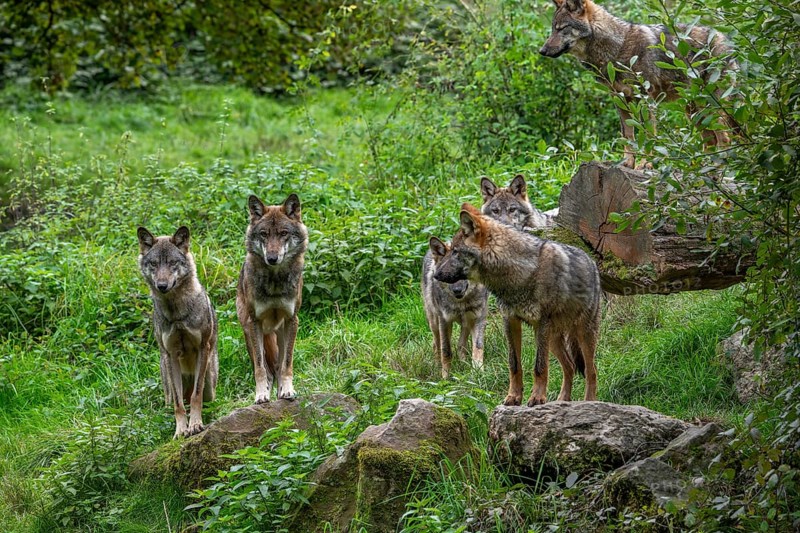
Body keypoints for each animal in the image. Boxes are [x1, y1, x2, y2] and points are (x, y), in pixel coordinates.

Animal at [137, 226, 219, 438]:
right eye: (154, 264)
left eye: (172, 263)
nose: (162, 286)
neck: (176, 313)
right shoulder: (170, 354)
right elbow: (179, 404)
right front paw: (181, 430)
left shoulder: (202, 347)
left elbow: (196, 396)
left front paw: (195, 425)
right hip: (167, 378)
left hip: (210, 383)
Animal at [236, 193, 308, 404]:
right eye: (264, 234)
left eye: (284, 233)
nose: (272, 258)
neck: (275, 281)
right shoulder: (254, 322)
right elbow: (260, 369)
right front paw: (261, 394)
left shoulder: (292, 320)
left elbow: (287, 363)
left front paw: (288, 390)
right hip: (249, 331)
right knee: (267, 368)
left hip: (281, 332)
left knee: (278, 365)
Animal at [422, 237, 489, 379]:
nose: (457, 290)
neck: (461, 304)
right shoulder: (444, 321)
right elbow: (446, 350)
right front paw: (445, 377)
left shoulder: (479, 318)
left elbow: (478, 347)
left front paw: (478, 372)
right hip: (434, 323)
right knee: (436, 345)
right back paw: (437, 365)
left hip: (466, 323)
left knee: (461, 345)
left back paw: (464, 363)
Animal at [433, 204, 602, 407]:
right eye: (450, 250)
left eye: (456, 252)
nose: (436, 274)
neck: (519, 273)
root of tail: (592, 261)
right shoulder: (510, 320)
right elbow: (514, 365)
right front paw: (513, 397)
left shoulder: (541, 323)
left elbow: (539, 367)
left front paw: (537, 398)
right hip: (553, 339)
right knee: (569, 366)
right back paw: (562, 401)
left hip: (582, 334)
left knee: (591, 370)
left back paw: (589, 402)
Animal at [540, 0, 736, 169]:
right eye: (552, 29)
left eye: (562, 28)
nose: (541, 51)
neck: (616, 50)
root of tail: (727, 41)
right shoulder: (620, 99)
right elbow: (628, 135)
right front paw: (627, 163)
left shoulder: (646, 99)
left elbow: (648, 133)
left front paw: (646, 164)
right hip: (694, 111)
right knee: (710, 141)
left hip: (710, 107)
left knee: (724, 138)